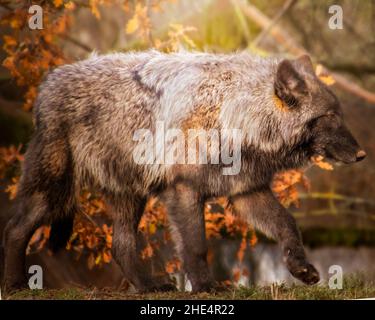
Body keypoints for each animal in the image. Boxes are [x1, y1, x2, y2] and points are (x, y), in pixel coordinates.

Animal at [0, 51, 366, 294]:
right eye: (330, 117)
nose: (362, 154)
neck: (234, 115)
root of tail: (47, 82)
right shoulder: (184, 191)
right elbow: (196, 246)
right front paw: (206, 287)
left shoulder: (247, 192)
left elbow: (288, 224)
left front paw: (301, 269)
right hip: (54, 191)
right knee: (15, 228)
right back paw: (16, 284)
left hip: (129, 198)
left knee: (121, 246)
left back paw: (148, 286)